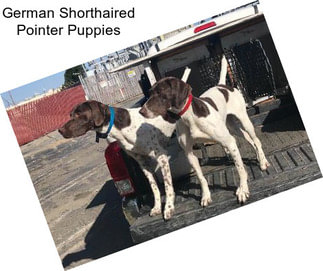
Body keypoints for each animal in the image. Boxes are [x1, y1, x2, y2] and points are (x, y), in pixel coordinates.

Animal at [140, 56, 270, 206]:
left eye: (160, 93)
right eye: (149, 93)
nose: (141, 111)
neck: (189, 117)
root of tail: (222, 85)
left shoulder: (230, 142)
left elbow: (240, 169)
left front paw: (243, 190)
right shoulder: (190, 154)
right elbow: (201, 178)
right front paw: (206, 195)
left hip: (244, 122)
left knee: (256, 140)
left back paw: (263, 161)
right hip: (232, 127)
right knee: (249, 140)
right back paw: (258, 157)